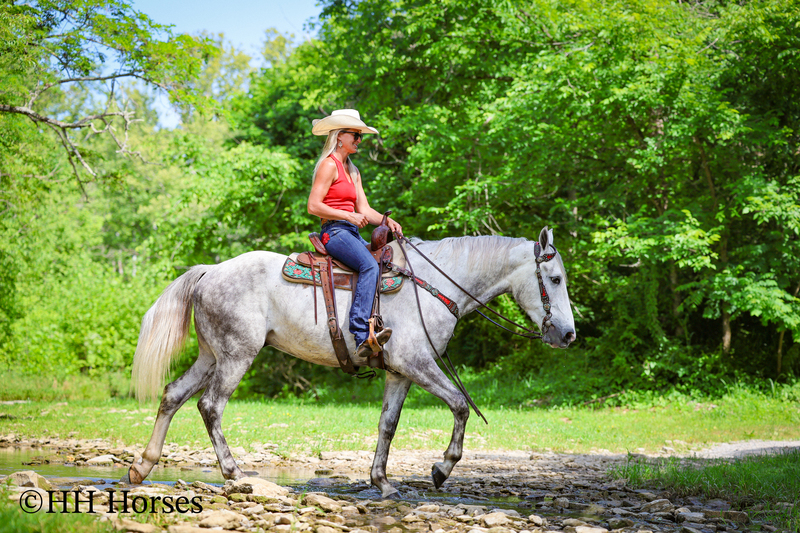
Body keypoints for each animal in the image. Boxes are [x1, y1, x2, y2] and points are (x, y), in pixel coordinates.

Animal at [125, 226, 576, 499]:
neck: (434, 285)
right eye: (554, 279)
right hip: (237, 355)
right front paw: (441, 469)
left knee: (173, 396)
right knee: (210, 406)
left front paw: (383, 483)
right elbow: (460, 405)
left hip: (210, 355)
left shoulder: (399, 373)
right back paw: (234, 473)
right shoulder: (416, 363)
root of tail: (208, 271)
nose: (568, 335)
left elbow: (388, 425)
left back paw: (142, 468)